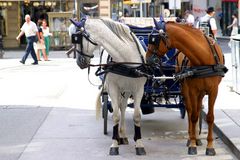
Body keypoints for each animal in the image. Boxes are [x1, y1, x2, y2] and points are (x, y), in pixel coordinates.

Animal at [69, 18, 147, 156]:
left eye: (76, 38)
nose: (79, 62)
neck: (126, 59)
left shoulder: (138, 89)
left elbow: (137, 116)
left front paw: (139, 144)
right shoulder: (113, 88)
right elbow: (116, 115)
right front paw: (114, 144)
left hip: (127, 90)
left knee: (123, 107)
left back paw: (123, 135)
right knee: (120, 108)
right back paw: (120, 136)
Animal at [145, 19, 228, 156]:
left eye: (154, 40)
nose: (147, 60)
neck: (203, 58)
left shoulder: (213, 91)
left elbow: (210, 117)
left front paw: (210, 146)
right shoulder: (192, 90)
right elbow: (193, 116)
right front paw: (192, 145)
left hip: (201, 92)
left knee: (198, 109)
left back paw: (198, 139)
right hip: (185, 89)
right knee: (190, 111)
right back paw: (191, 138)